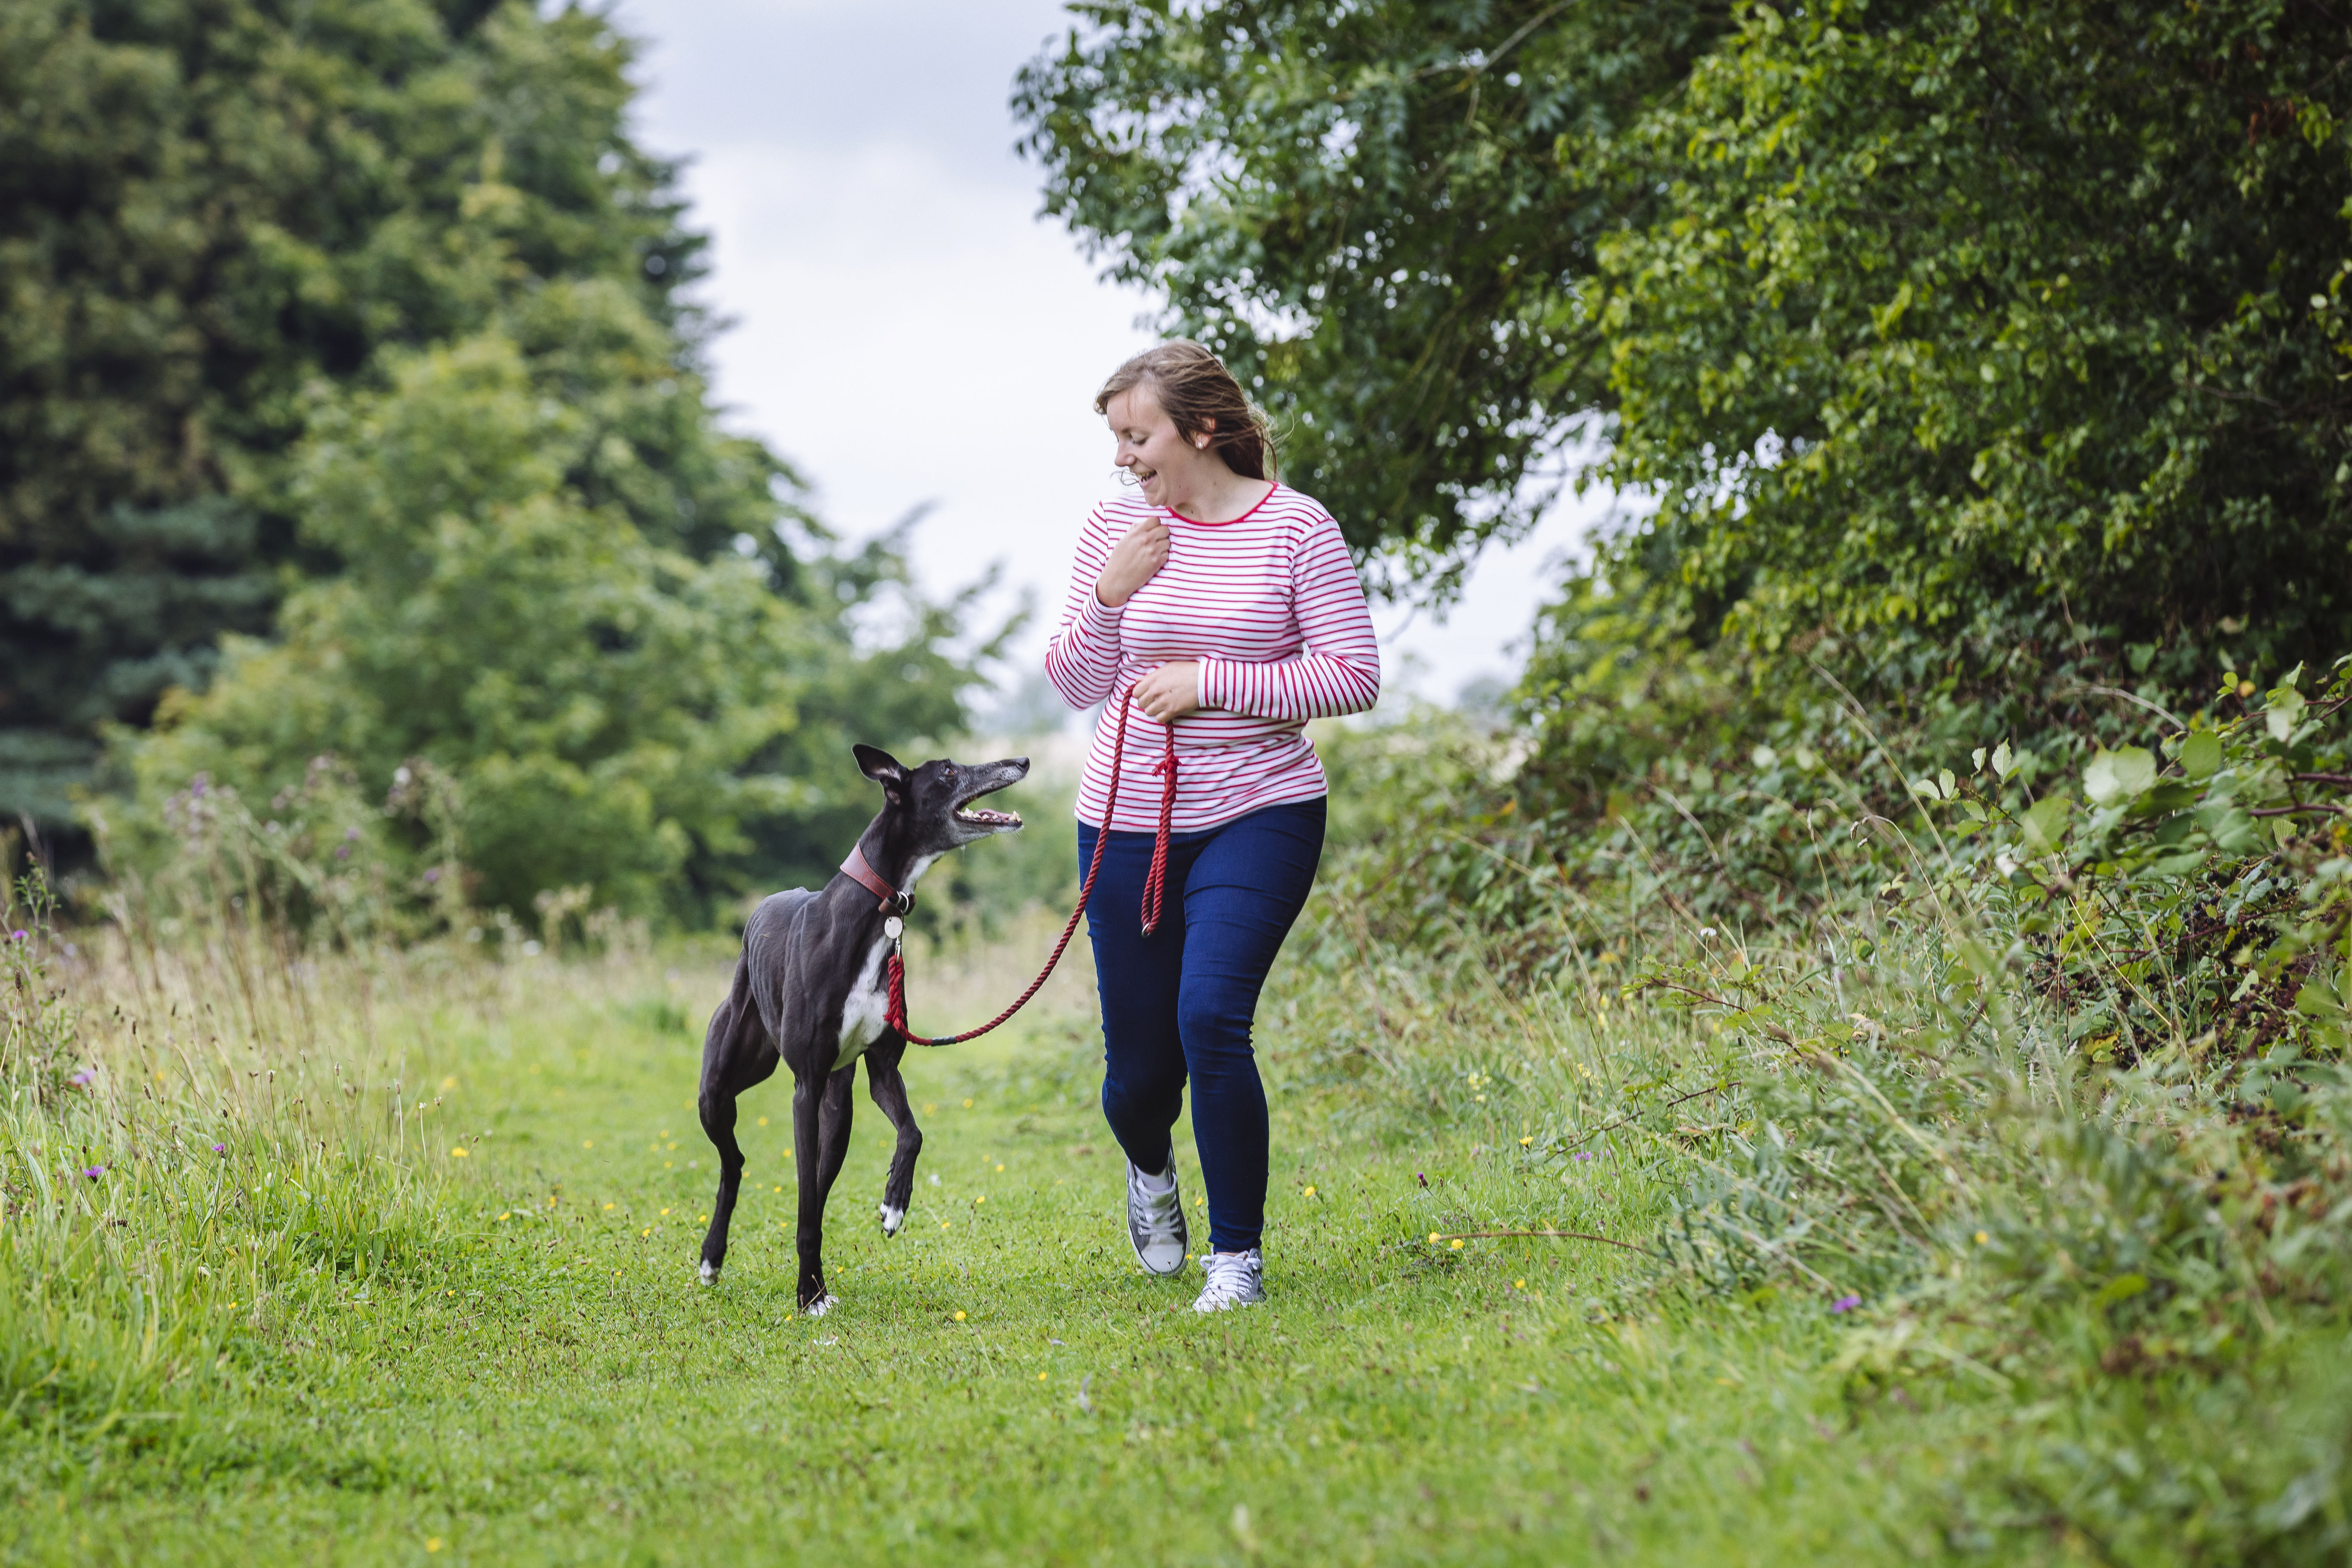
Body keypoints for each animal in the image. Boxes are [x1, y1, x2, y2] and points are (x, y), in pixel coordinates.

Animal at [696, 747, 1030, 1316]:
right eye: (948, 771)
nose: (1023, 760)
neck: (873, 914)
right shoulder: (805, 1086)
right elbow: (805, 1201)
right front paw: (808, 1294)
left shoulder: (880, 1069)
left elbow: (911, 1134)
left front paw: (894, 1205)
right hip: (719, 1087)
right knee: (735, 1163)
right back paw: (713, 1257)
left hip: (840, 1111)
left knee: (805, 1179)